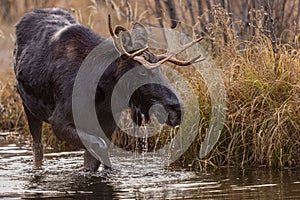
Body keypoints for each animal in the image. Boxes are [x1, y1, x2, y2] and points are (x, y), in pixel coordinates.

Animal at [13, 8, 202, 172]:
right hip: (28, 107)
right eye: (142, 71)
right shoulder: (58, 122)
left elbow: (96, 159)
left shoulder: (107, 125)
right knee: (37, 149)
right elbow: (99, 147)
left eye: (161, 69)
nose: (177, 109)